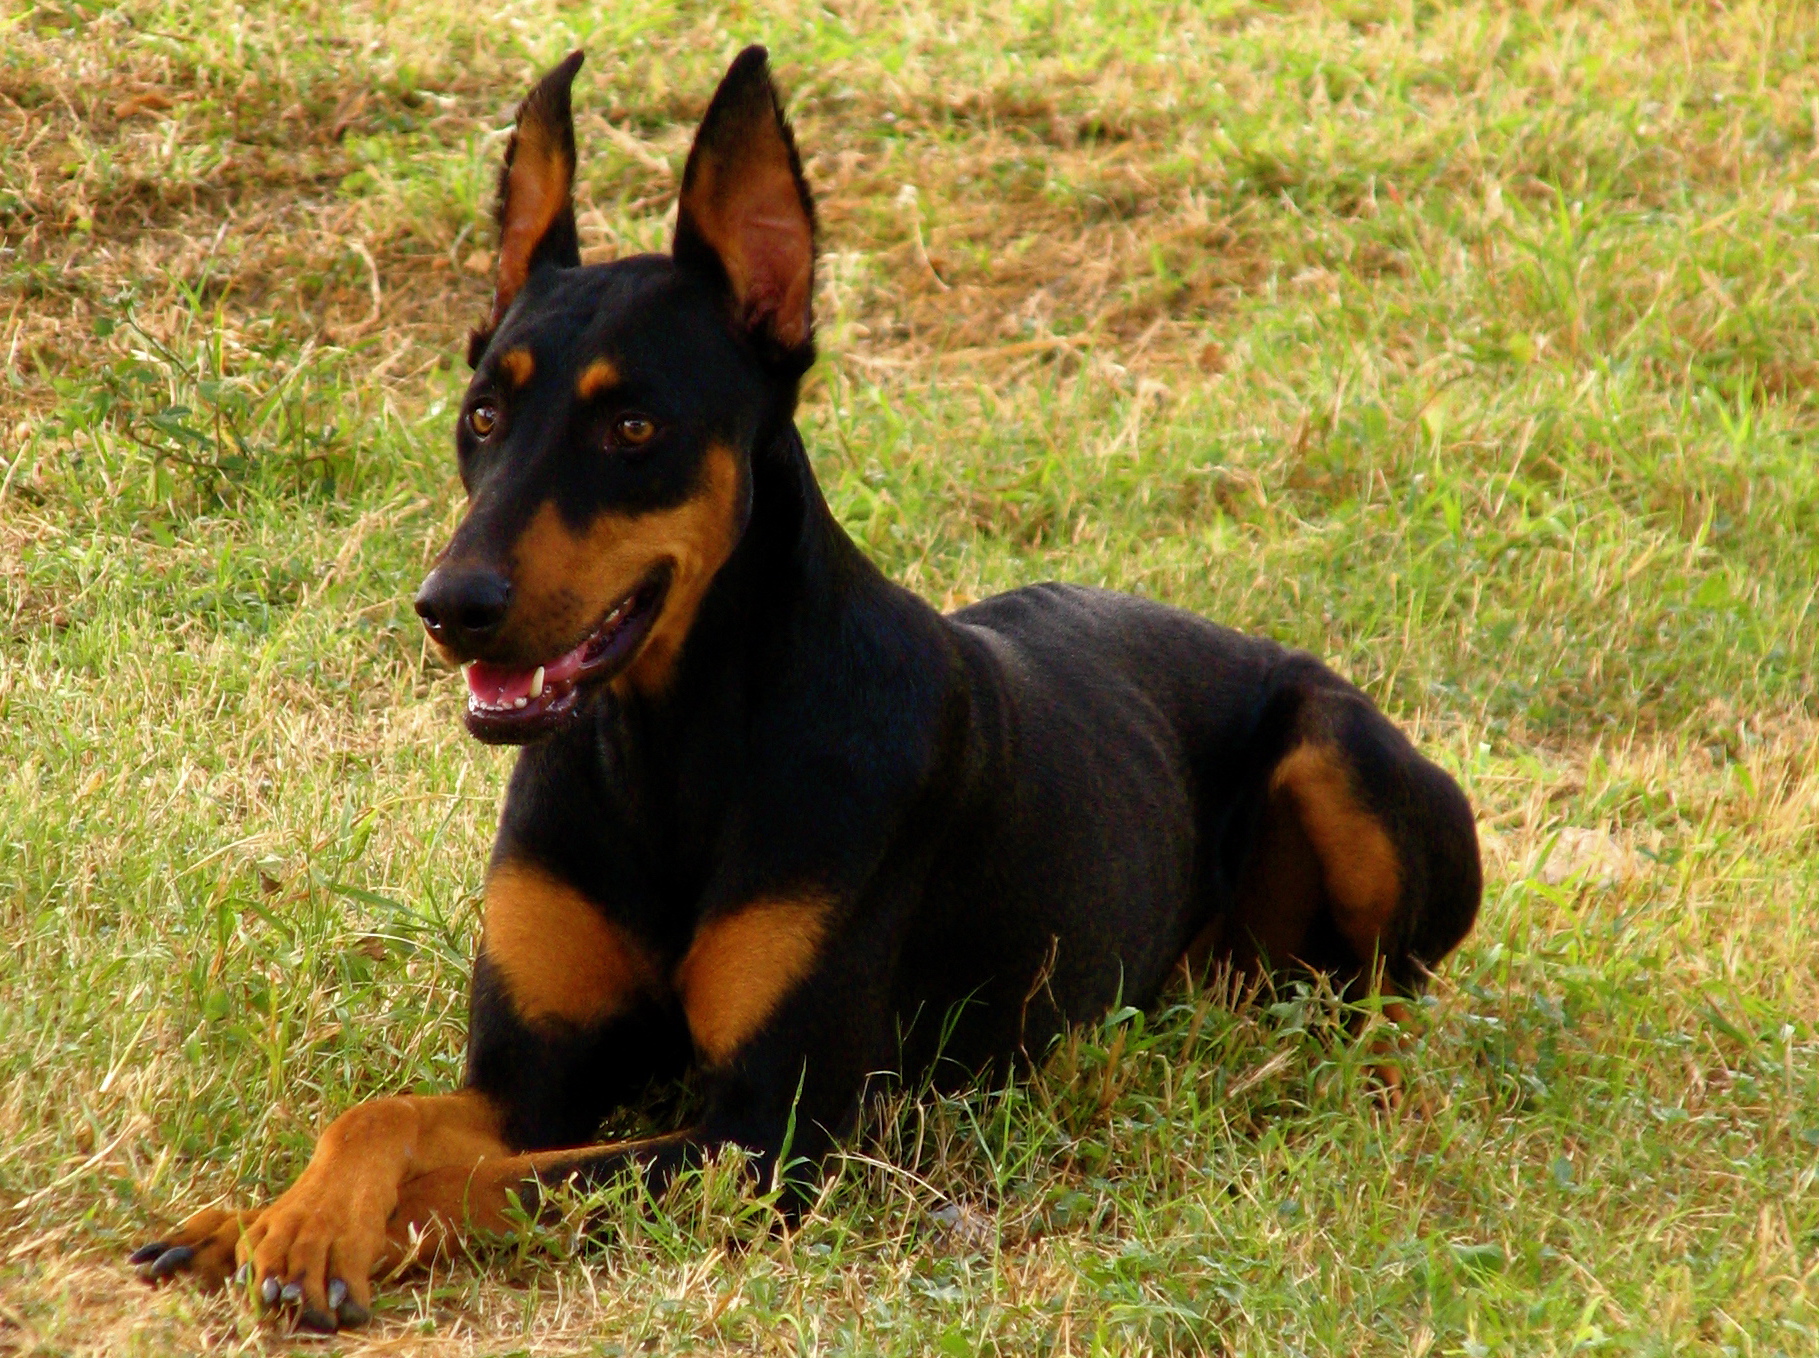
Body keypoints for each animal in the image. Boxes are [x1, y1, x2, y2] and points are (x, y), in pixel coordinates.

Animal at [131, 47, 1477, 1330]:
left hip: (1336, 750)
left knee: (1392, 997)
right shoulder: (528, 1074)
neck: (670, 749)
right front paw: (268, 1214)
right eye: (483, 413)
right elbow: (385, 1115)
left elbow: (481, 1178)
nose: (451, 606)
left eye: (633, 427)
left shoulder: (773, 1134)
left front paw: (300, 1233)